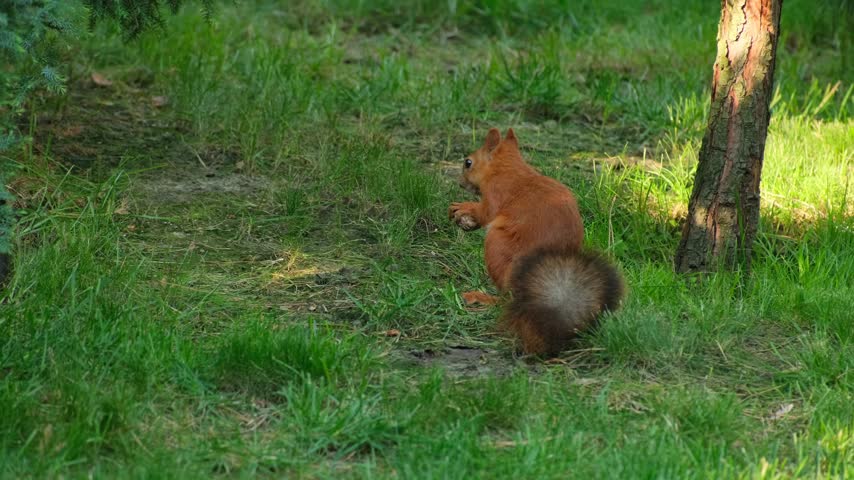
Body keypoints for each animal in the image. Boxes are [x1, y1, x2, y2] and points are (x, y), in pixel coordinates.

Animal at [448, 127, 625, 356]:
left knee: (504, 298)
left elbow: (484, 213)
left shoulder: (496, 193)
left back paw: (483, 298)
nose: (460, 183)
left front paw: (464, 207)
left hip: (496, 245)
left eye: (468, 162)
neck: (509, 169)